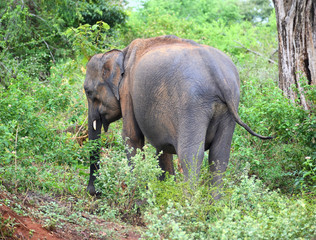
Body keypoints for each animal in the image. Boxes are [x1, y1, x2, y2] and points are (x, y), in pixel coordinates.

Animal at [84, 34, 272, 198]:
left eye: (88, 92)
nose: (94, 192)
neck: (121, 53)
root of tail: (216, 71)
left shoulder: (127, 90)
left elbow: (131, 137)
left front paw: (140, 198)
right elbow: (161, 148)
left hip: (192, 105)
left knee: (191, 154)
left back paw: (188, 206)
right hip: (229, 105)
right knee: (220, 156)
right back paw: (214, 208)